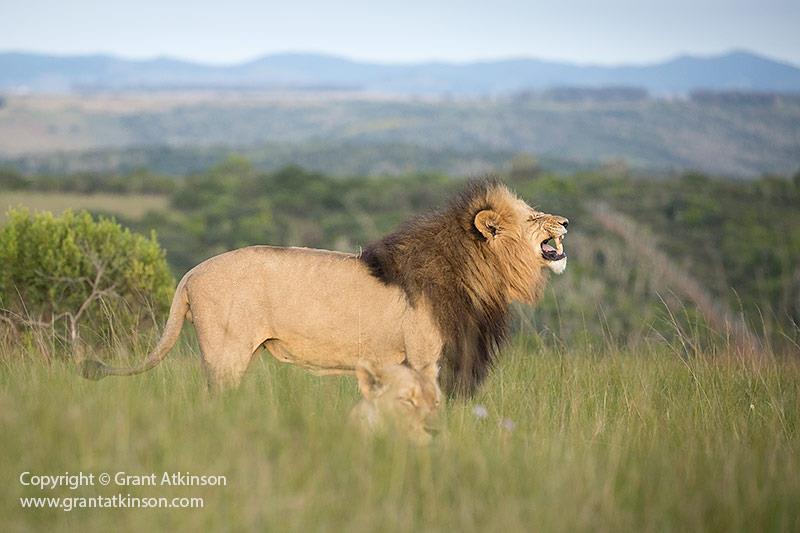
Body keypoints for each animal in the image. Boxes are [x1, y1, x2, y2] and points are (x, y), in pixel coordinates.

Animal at [81, 180, 568, 394]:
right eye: (532, 217)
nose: (566, 221)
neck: (479, 274)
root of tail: (190, 273)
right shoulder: (426, 357)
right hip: (226, 353)